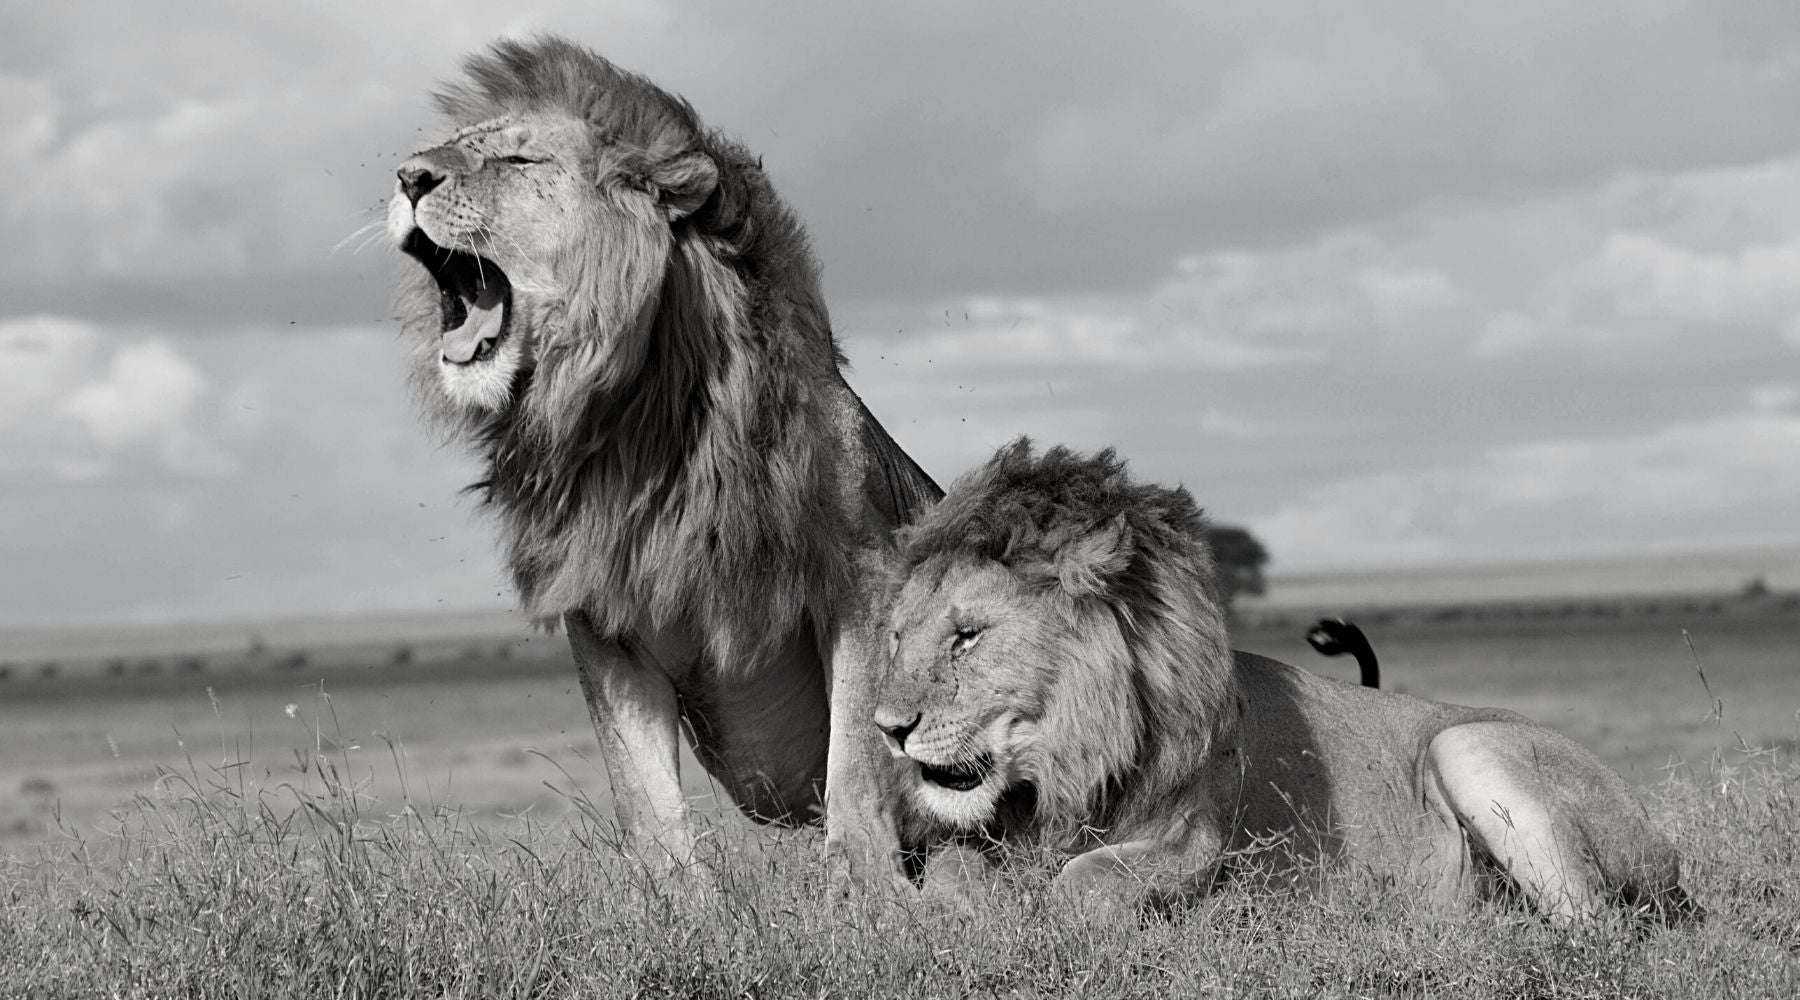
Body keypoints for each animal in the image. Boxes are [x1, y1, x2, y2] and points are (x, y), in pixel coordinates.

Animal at [387, 36, 940, 882]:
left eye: (518, 159)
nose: (408, 176)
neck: (632, 426)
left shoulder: (862, 578)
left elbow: (855, 764)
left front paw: (863, 892)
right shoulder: (605, 620)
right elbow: (647, 805)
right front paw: (681, 905)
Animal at [875, 439, 1695, 923]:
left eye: (968, 636)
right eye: (897, 636)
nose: (887, 729)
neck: (1064, 767)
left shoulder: (1198, 842)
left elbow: (1082, 883)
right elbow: (949, 872)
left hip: (1468, 744)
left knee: (1597, 927)